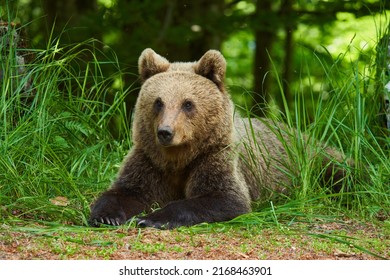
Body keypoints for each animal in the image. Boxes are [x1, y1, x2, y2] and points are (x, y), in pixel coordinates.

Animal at [89, 48, 350, 229]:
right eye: (158, 102)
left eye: (187, 103)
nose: (165, 132)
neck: (179, 158)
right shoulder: (149, 161)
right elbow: (126, 191)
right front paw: (106, 216)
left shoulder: (215, 156)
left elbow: (224, 197)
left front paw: (151, 218)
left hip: (314, 159)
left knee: (341, 172)